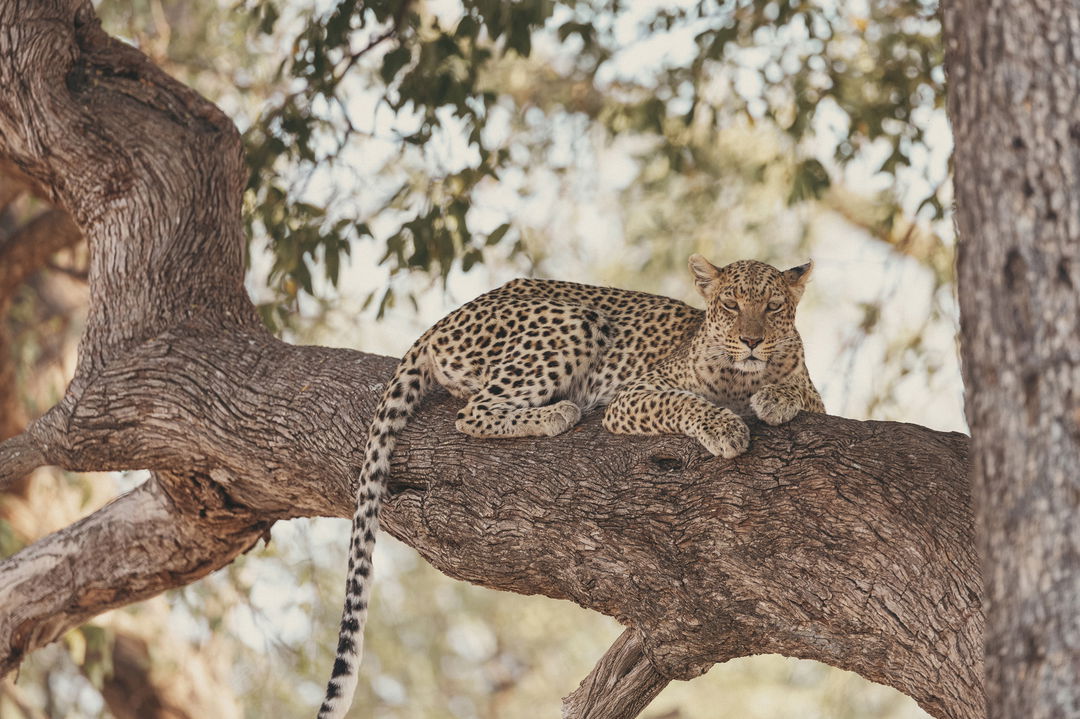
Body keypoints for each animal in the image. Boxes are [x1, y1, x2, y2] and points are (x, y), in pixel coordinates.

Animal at [316, 254, 824, 719]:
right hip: (574, 321)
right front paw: (726, 428)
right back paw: (557, 412)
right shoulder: (634, 396)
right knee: (473, 411)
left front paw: (777, 397)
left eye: (774, 306)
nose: (753, 341)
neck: (742, 379)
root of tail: (449, 317)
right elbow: (684, 402)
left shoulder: (815, 398)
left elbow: (800, 390)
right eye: (731, 304)